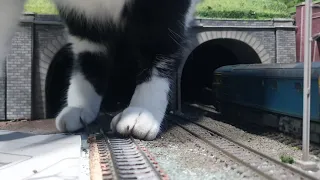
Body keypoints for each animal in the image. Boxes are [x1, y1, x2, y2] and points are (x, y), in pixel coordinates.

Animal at [0, 0, 199, 141]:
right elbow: (90, 55)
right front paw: (81, 105)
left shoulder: (164, 8)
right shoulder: (83, 19)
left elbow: (158, 44)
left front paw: (143, 110)